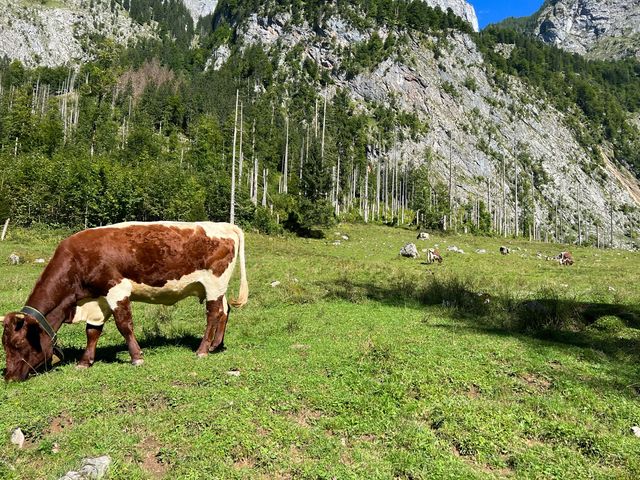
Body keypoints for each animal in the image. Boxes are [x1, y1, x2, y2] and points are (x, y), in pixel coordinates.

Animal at [1, 222, 248, 382]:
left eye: (19, 344)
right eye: (4, 345)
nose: (9, 377)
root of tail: (224, 225)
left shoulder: (117, 289)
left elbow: (124, 325)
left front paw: (136, 357)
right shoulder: (97, 300)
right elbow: (92, 332)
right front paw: (84, 362)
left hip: (214, 283)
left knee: (213, 314)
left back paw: (203, 349)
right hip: (216, 288)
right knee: (224, 310)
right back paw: (216, 345)